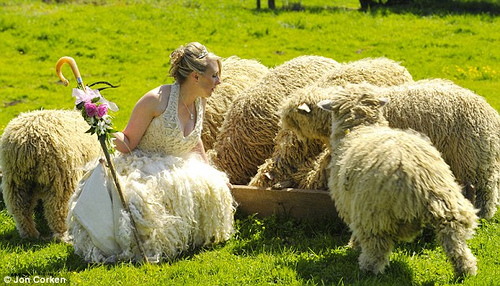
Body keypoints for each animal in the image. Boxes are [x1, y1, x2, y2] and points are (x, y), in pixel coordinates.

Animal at [0, 109, 101, 239]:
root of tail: (27, 139)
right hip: (60, 178)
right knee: (57, 207)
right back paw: (62, 234)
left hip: (16, 179)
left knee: (20, 208)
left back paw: (29, 234)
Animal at [282, 79, 500, 219]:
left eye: (293, 116)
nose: (285, 127)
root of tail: (490, 113)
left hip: (473, 156)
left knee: (487, 187)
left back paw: (486, 212)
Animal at [318, 83, 478, 278]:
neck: (361, 129)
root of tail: (419, 181)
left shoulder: (350, 204)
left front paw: (353, 245)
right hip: (449, 205)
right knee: (455, 238)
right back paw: (466, 270)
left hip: (374, 214)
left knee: (376, 247)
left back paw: (368, 270)